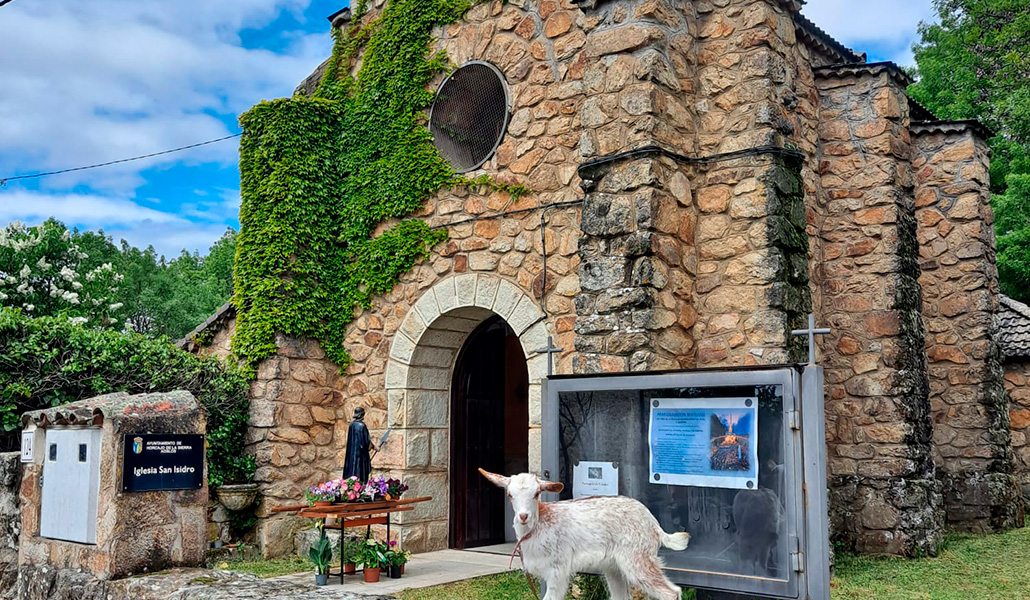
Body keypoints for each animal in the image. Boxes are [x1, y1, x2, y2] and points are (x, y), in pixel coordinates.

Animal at [480, 468, 690, 600]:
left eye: (536, 493)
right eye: (509, 494)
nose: (523, 516)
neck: (538, 526)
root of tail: (654, 524)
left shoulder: (558, 570)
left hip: (638, 558)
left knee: (671, 593)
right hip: (614, 567)